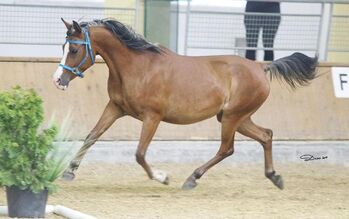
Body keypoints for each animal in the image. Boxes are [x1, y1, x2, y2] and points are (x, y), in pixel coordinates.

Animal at [53, 18, 316, 190]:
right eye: (63, 46)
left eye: (74, 49)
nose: (57, 80)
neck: (137, 67)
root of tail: (261, 67)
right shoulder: (116, 108)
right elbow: (92, 136)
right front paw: (68, 172)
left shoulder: (152, 117)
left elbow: (139, 153)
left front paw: (162, 177)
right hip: (236, 118)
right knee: (266, 135)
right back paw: (274, 177)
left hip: (232, 117)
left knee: (227, 148)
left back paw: (192, 178)